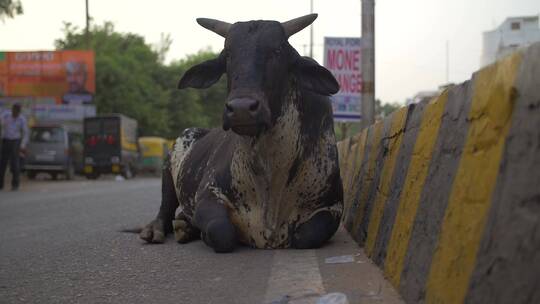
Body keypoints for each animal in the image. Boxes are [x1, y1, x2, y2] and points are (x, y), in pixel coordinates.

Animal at [139, 13, 342, 252]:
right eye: (228, 54)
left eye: (277, 51)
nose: (241, 109)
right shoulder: (208, 194)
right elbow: (221, 231)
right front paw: (202, 232)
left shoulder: (332, 206)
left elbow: (305, 237)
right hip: (170, 161)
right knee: (165, 207)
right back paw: (158, 229)